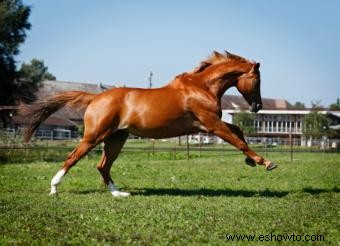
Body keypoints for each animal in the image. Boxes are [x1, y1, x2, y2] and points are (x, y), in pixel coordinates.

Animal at [23, 51, 278, 197]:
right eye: (257, 80)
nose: (257, 106)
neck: (202, 87)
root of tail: (95, 97)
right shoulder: (211, 124)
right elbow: (239, 140)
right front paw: (266, 162)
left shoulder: (207, 126)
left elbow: (239, 131)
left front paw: (251, 161)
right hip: (94, 136)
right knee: (73, 158)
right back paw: (54, 188)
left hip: (116, 138)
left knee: (103, 166)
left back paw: (119, 194)